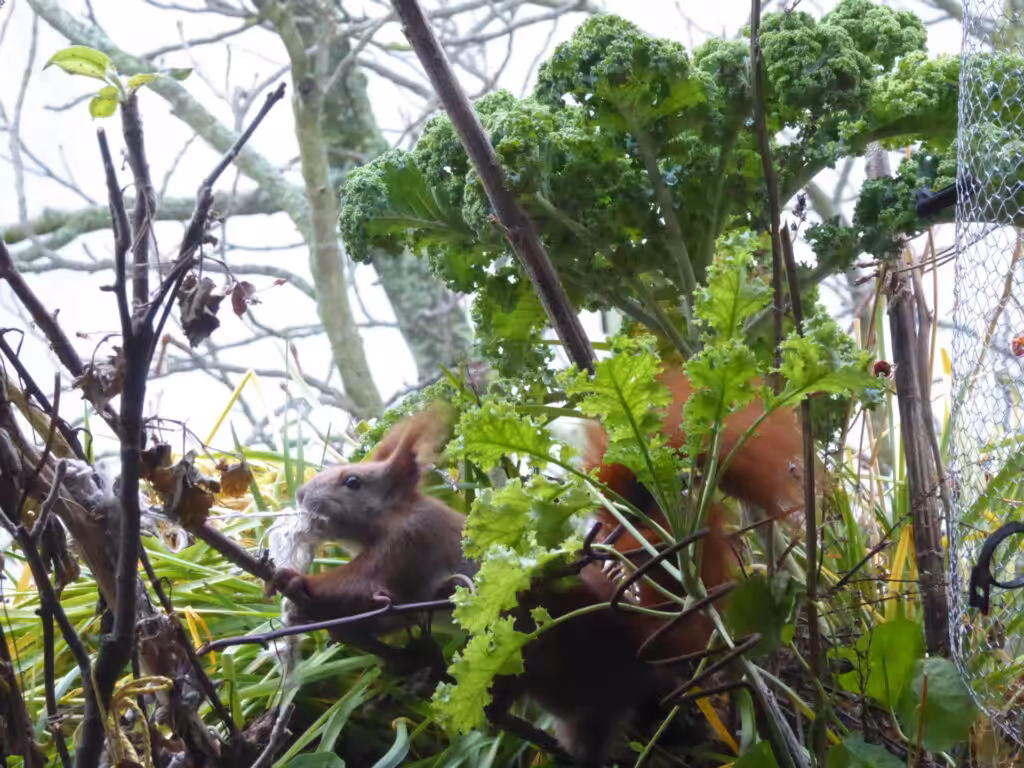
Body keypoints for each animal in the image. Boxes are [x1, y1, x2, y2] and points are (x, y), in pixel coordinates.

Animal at [264, 366, 815, 767]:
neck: (395, 515)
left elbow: (368, 588)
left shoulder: (409, 546)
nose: (301, 495)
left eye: (352, 482)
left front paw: (296, 582)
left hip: (537, 635)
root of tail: (645, 645)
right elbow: (384, 617)